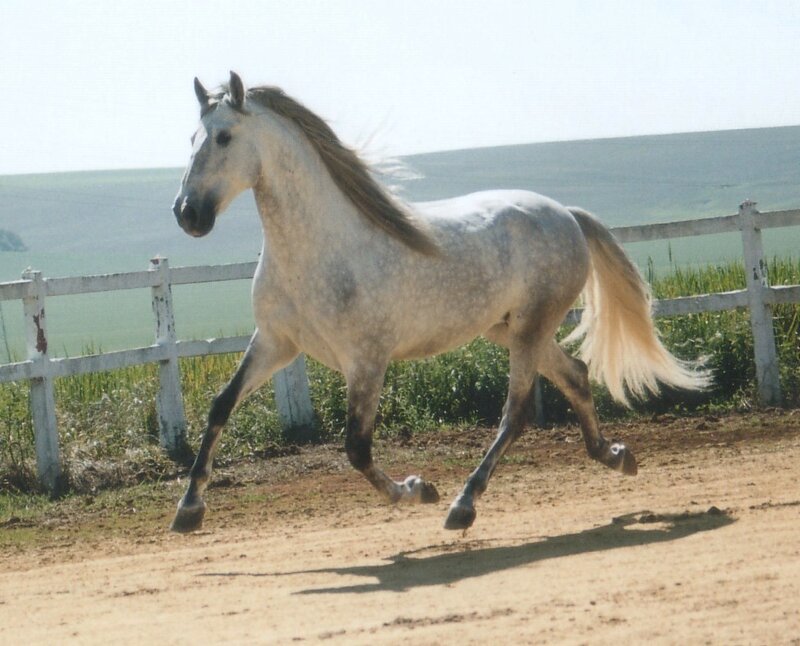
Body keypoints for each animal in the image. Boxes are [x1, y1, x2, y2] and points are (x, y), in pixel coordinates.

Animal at [170, 71, 709, 533]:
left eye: (224, 138)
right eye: (191, 139)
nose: (187, 214)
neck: (318, 250)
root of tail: (566, 215)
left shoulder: (367, 361)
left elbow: (357, 448)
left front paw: (418, 489)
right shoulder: (276, 343)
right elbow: (220, 406)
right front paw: (188, 510)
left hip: (531, 327)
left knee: (516, 412)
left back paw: (462, 505)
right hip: (508, 328)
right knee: (575, 374)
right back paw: (615, 456)